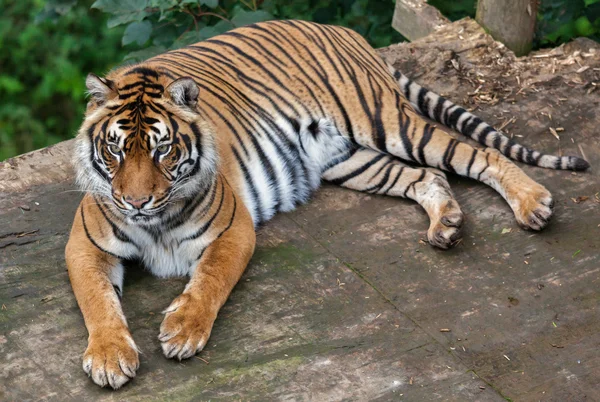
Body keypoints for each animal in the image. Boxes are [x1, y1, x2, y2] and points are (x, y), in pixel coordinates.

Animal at [64, 19, 584, 390]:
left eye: (162, 150)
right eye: (115, 150)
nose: (135, 201)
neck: (155, 219)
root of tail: (339, 29)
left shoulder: (233, 229)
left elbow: (210, 280)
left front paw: (183, 330)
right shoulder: (85, 245)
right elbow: (97, 300)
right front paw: (109, 357)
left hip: (387, 122)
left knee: (477, 154)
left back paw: (533, 204)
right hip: (349, 160)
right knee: (427, 175)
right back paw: (446, 224)